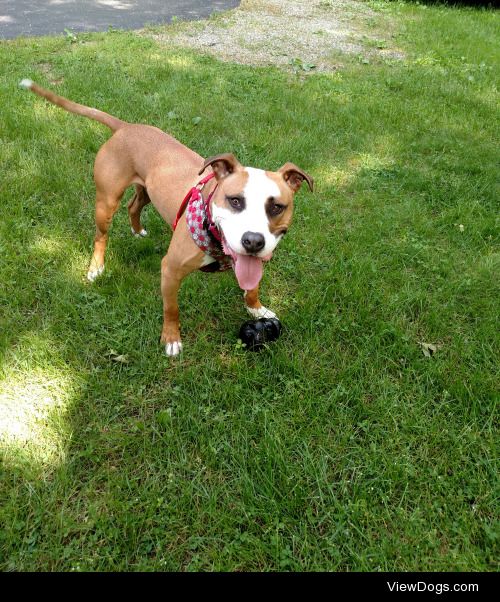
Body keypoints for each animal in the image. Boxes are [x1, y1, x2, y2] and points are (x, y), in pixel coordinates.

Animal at [21, 77, 314, 354]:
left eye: (276, 207)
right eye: (235, 201)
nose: (253, 241)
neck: (212, 231)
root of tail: (125, 126)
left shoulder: (255, 263)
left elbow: (252, 286)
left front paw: (257, 308)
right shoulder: (171, 270)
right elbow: (171, 309)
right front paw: (171, 340)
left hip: (147, 190)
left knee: (134, 206)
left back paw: (137, 230)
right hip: (106, 202)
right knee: (101, 236)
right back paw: (96, 268)